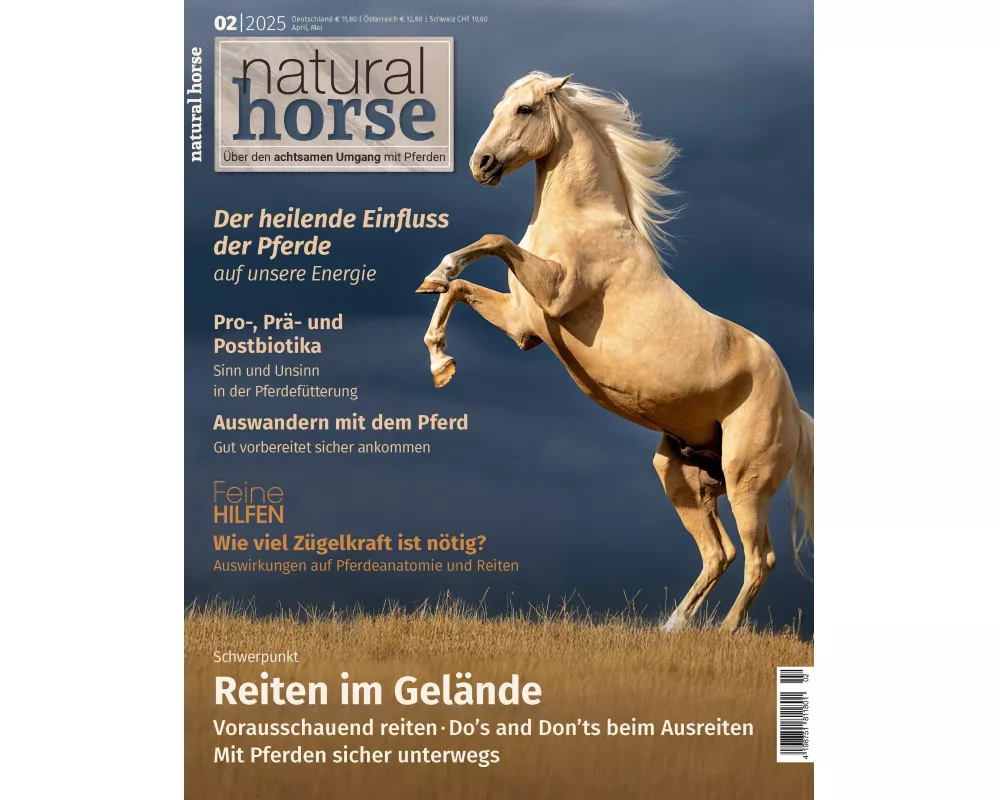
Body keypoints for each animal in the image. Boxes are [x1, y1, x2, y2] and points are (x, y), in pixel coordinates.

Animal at [416, 72, 813, 632]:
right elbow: (457, 289)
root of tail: (796, 410)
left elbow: (492, 241)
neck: (584, 220)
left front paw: (443, 273)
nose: (481, 165)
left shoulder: (555, 292)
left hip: (745, 481)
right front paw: (440, 359)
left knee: (760, 559)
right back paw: (672, 629)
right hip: (680, 475)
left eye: (523, 109)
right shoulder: (522, 326)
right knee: (720, 554)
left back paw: (725, 633)